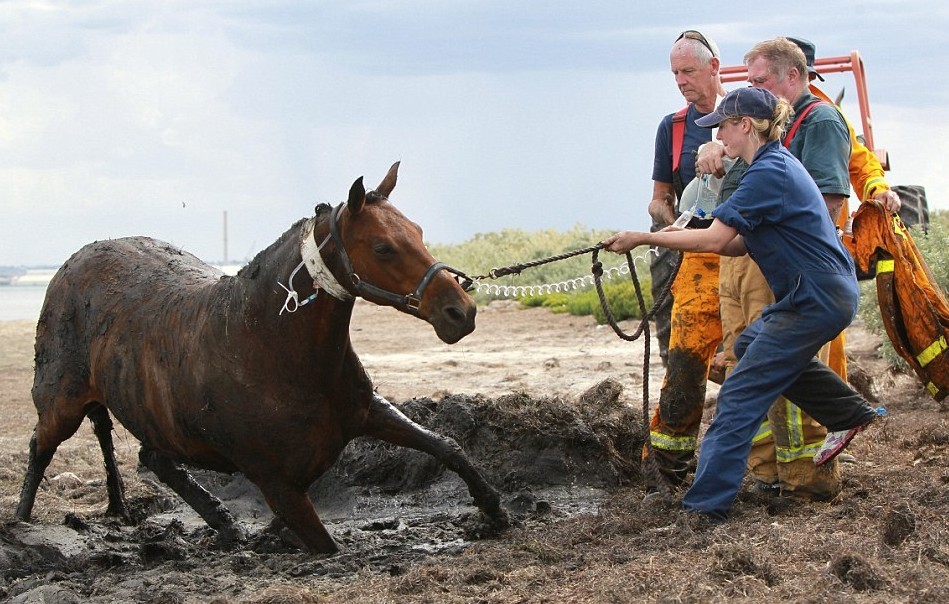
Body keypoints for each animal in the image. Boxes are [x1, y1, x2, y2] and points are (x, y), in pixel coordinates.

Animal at [14, 160, 508, 552]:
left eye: (419, 232)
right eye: (383, 247)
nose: (460, 312)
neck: (268, 348)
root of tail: (73, 262)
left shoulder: (367, 411)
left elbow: (446, 446)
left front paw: (495, 512)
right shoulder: (280, 487)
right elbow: (327, 546)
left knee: (154, 460)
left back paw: (224, 524)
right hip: (62, 405)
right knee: (41, 446)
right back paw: (20, 523)